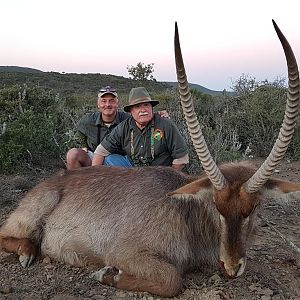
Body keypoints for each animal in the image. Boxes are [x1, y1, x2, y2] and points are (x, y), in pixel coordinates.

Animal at [0, 19, 298, 296]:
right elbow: (172, 280)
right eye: (216, 206)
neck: (186, 212)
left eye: (254, 208)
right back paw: (28, 251)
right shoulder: (126, 252)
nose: (232, 267)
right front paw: (106, 274)